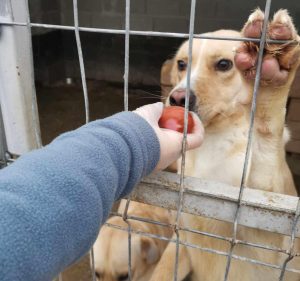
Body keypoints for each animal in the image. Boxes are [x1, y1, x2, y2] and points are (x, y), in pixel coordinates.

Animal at [150, 8, 300, 280]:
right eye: (181, 64)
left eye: (223, 64)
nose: (177, 98)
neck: (214, 141)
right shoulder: (180, 241)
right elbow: (162, 272)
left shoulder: (270, 228)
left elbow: (266, 132)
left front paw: (273, 72)